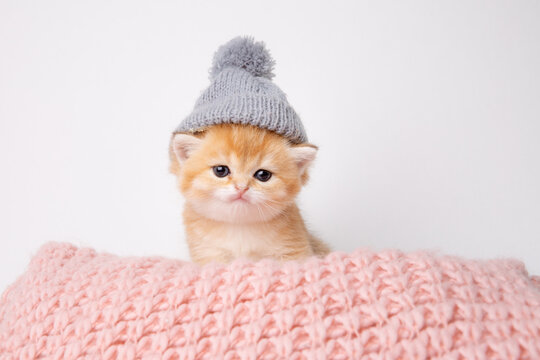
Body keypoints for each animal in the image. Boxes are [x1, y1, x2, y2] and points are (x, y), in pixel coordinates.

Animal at [169, 124, 330, 264]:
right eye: (220, 170)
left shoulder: (294, 250)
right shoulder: (208, 253)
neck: (239, 226)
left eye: (263, 175)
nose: (241, 187)